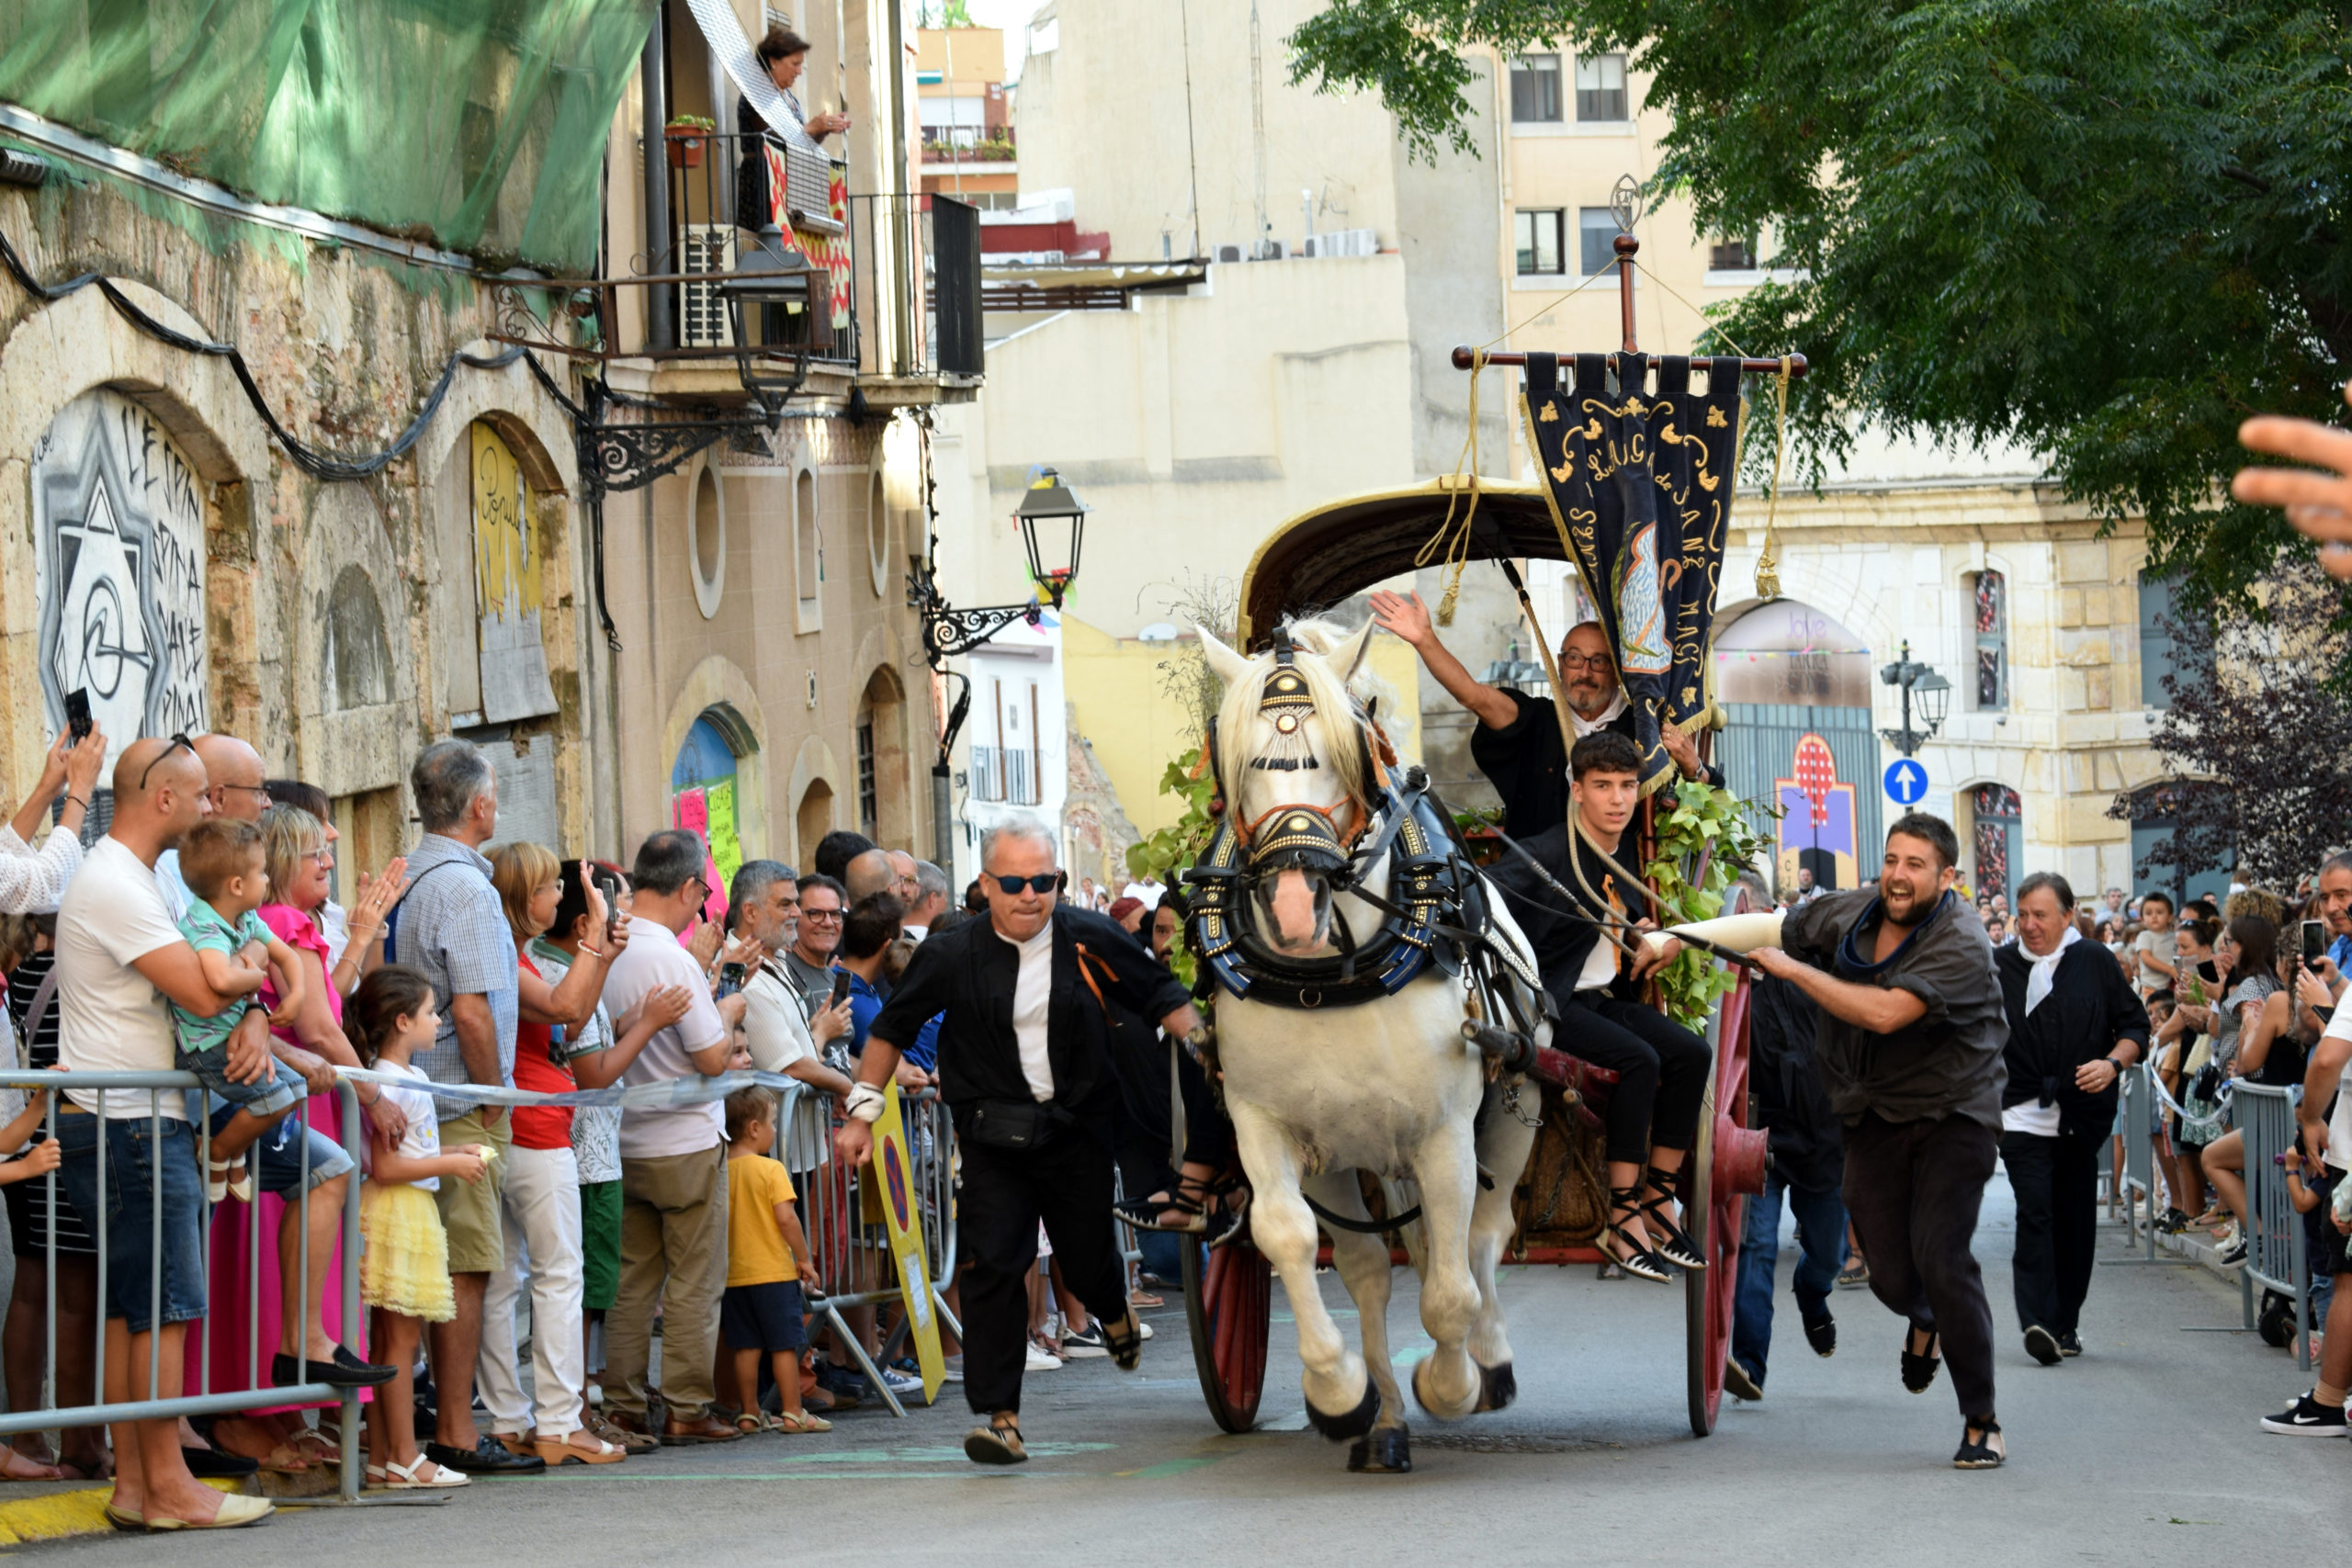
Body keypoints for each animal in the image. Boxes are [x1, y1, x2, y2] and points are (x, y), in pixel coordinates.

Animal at [1194, 615, 1543, 1476]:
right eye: (1237, 759)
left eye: (1343, 748)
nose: (1294, 903)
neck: (1334, 970)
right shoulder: (1270, 1126)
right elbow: (1288, 1237)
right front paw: (1340, 1393)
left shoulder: (1446, 1134)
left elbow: (1451, 1286)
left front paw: (1451, 1383)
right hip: (1354, 1154)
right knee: (1373, 1269)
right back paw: (1383, 1419)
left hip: (1514, 1103)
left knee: (1480, 1243)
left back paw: (1488, 1362)